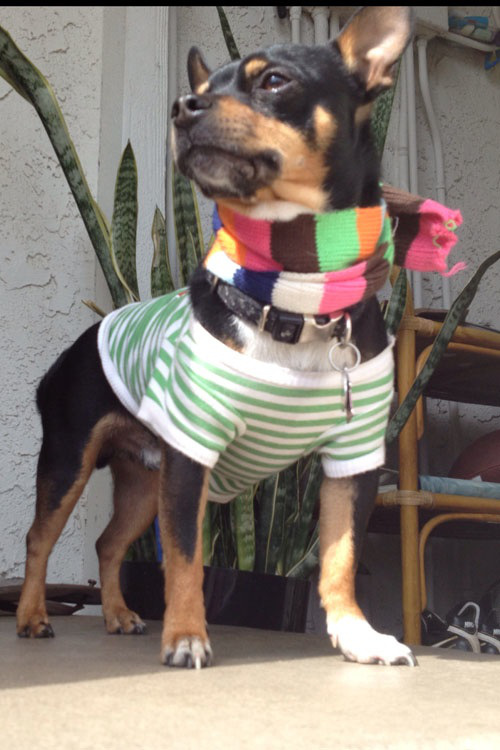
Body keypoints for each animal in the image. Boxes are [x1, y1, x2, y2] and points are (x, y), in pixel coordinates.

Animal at [17, 6, 417, 668]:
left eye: (274, 81)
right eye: (201, 89)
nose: (181, 106)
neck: (296, 295)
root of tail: (75, 347)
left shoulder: (351, 460)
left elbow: (340, 557)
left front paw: (360, 636)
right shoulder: (192, 457)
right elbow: (185, 560)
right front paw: (185, 636)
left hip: (142, 481)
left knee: (106, 544)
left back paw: (119, 614)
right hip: (70, 463)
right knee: (37, 539)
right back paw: (30, 616)